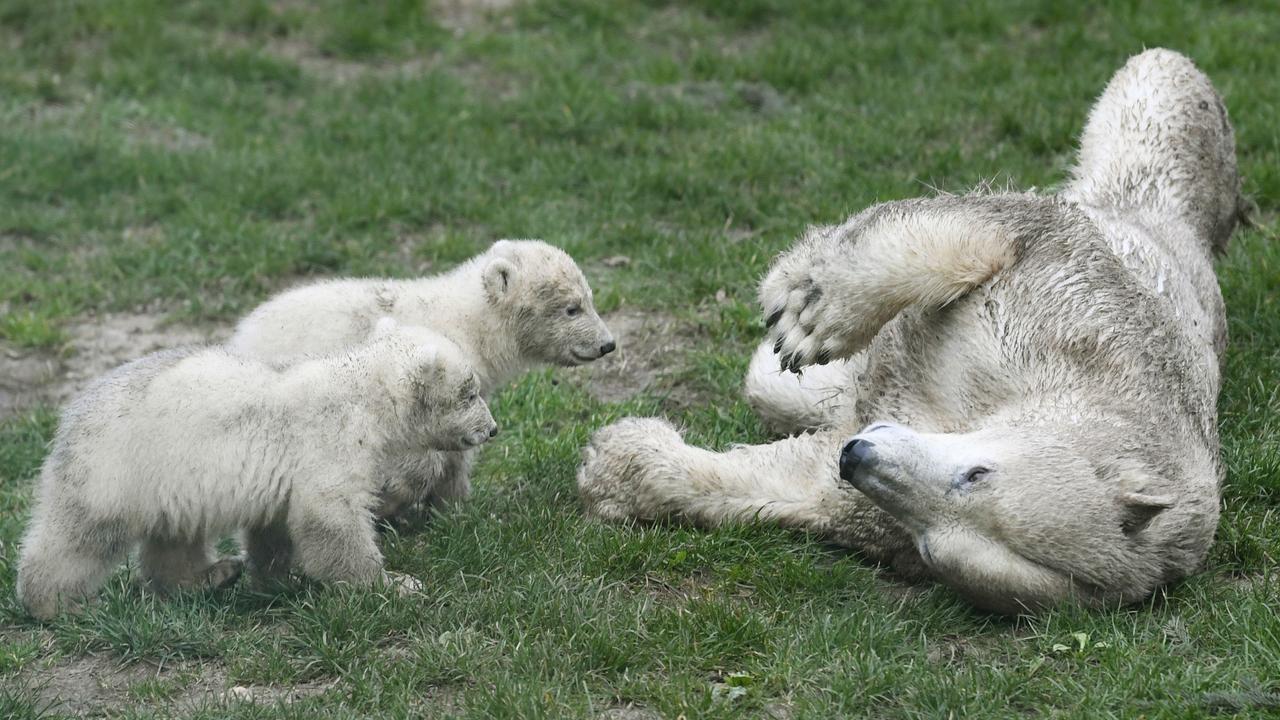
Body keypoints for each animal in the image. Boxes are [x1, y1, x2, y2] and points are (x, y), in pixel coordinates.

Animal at [16, 319, 494, 617]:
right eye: (470, 393)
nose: (492, 428)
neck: (362, 393)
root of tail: (71, 413)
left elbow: (276, 525)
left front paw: (276, 580)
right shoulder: (330, 440)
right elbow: (331, 517)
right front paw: (394, 585)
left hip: (168, 479)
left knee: (174, 537)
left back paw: (211, 576)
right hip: (115, 466)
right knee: (81, 536)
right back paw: (56, 603)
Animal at [230, 238, 614, 517]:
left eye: (590, 298)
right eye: (572, 308)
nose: (607, 343)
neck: (469, 323)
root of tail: (240, 335)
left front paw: (456, 507)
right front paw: (396, 497)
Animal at [578, 49, 1239, 609]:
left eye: (933, 548)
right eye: (978, 473)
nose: (858, 454)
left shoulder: (885, 502)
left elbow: (797, 486)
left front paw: (616, 462)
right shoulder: (1081, 312)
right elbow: (987, 233)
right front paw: (808, 310)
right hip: (1149, 177)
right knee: (1159, 85)